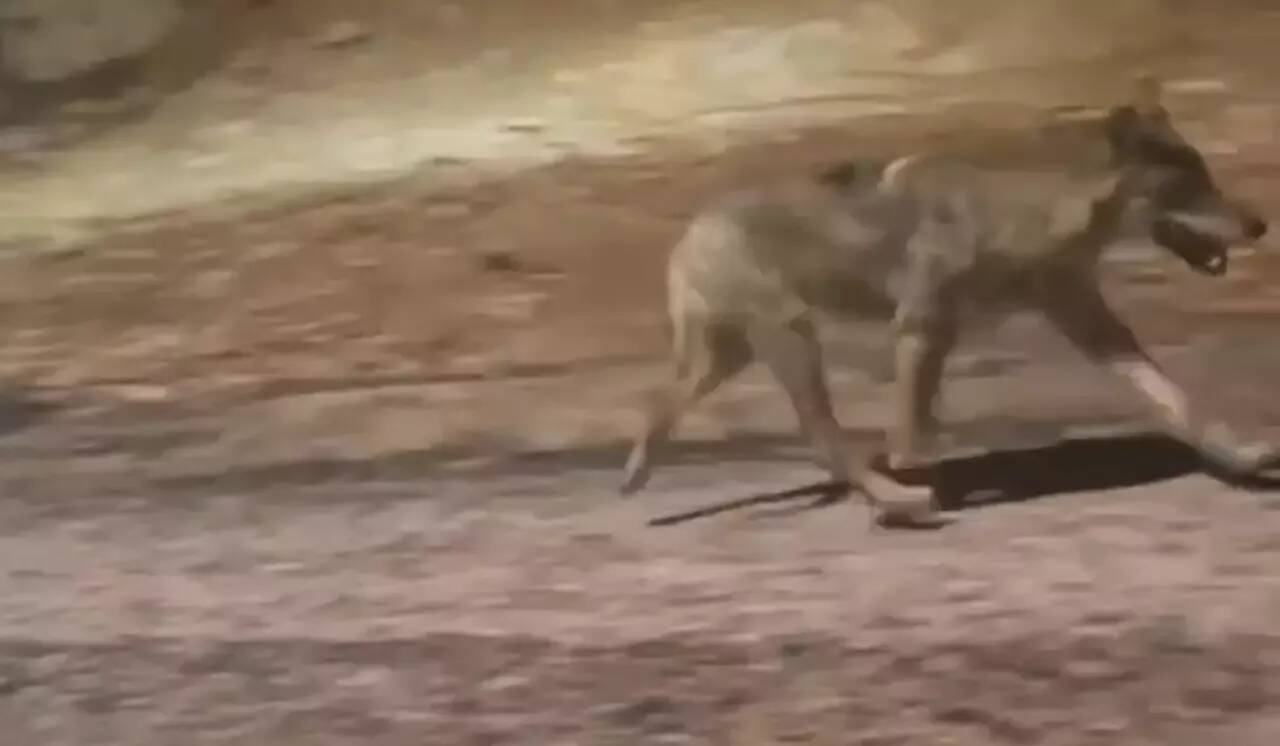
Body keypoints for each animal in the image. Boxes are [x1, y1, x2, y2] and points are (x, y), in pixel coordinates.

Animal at [620, 78, 1274, 516]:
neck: (1039, 209)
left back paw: (634, 477)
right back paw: (897, 500)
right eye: (1189, 185)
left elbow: (1175, 400)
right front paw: (925, 468)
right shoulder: (923, 328)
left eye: (1208, 177)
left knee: (661, 407)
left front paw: (1241, 457)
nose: (1260, 224)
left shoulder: (1091, 325)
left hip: (731, 356)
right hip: (792, 341)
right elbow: (913, 430)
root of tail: (692, 230)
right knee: (823, 438)